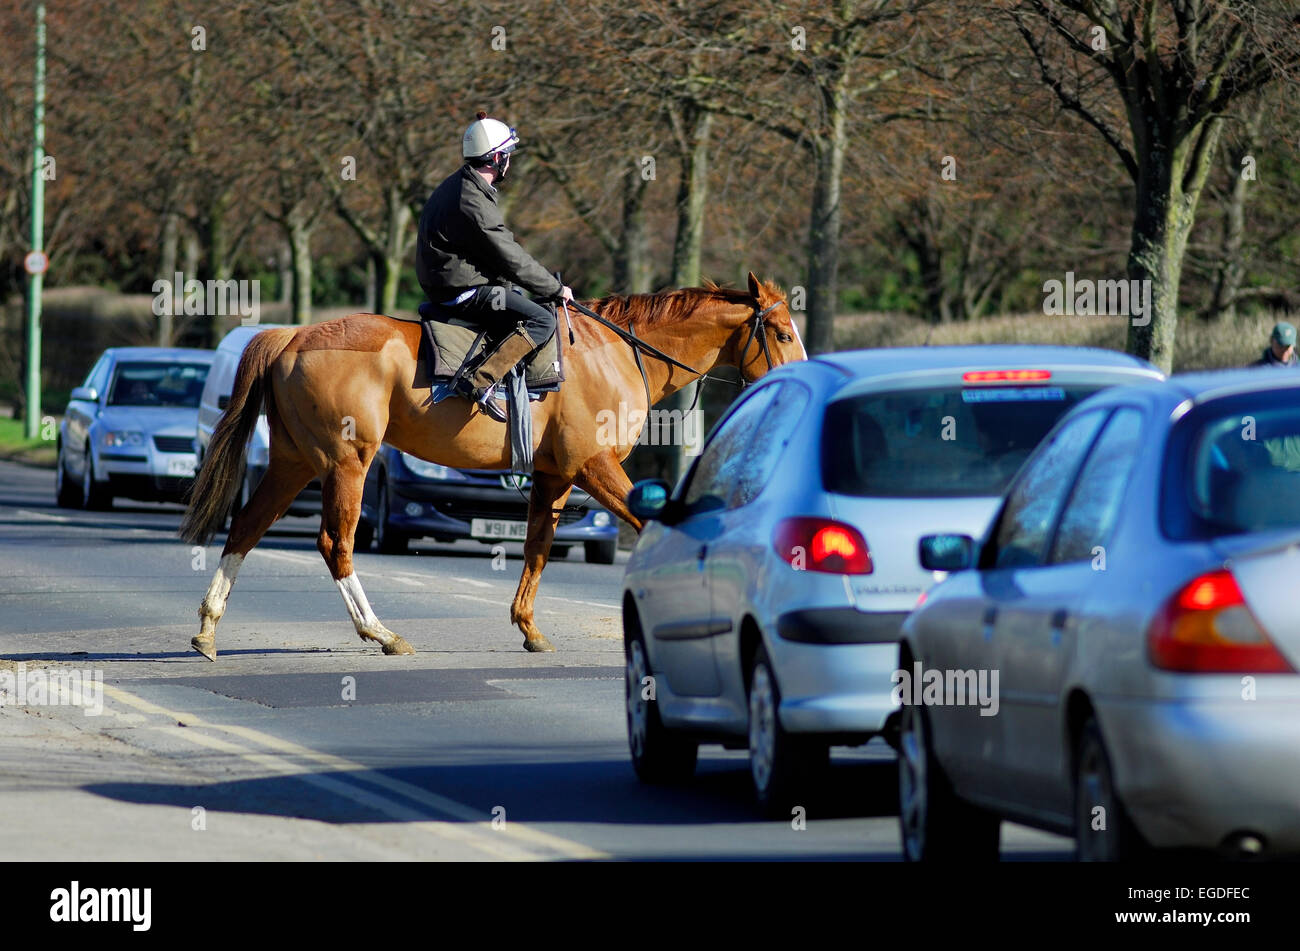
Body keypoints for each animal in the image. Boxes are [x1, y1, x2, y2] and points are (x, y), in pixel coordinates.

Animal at [178, 271, 807, 658]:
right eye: (780, 332)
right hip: (346, 464)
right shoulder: (594, 465)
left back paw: (208, 628)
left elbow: (536, 548)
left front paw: (528, 627)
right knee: (336, 544)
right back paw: (379, 632)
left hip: (293, 464)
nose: (803, 375)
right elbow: (642, 525)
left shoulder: (556, 476)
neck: (615, 352)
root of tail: (291, 336)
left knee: (246, 528)